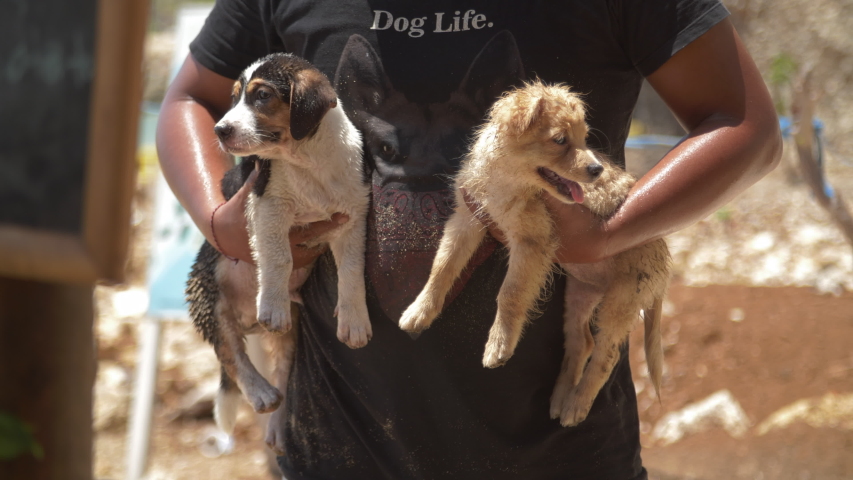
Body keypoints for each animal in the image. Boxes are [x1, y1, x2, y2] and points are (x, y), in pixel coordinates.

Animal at [186, 52, 370, 454]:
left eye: (262, 96)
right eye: (235, 97)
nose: (220, 130)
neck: (307, 161)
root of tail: (246, 321)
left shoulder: (352, 215)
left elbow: (352, 271)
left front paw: (354, 320)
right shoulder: (267, 207)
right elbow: (280, 257)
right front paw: (271, 302)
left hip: (292, 333)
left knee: (284, 372)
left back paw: (276, 427)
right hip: (211, 296)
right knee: (230, 353)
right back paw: (260, 393)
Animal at [400, 81, 672, 428]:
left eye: (584, 138)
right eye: (560, 140)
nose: (597, 170)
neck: (506, 179)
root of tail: (664, 260)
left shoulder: (531, 241)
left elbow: (510, 293)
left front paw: (499, 344)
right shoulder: (467, 219)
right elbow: (442, 267)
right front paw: (420, 310)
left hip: (621, 302)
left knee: (606, 354)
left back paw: (576, 404)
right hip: (580, 293)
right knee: (582, 341)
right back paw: (560, 397)